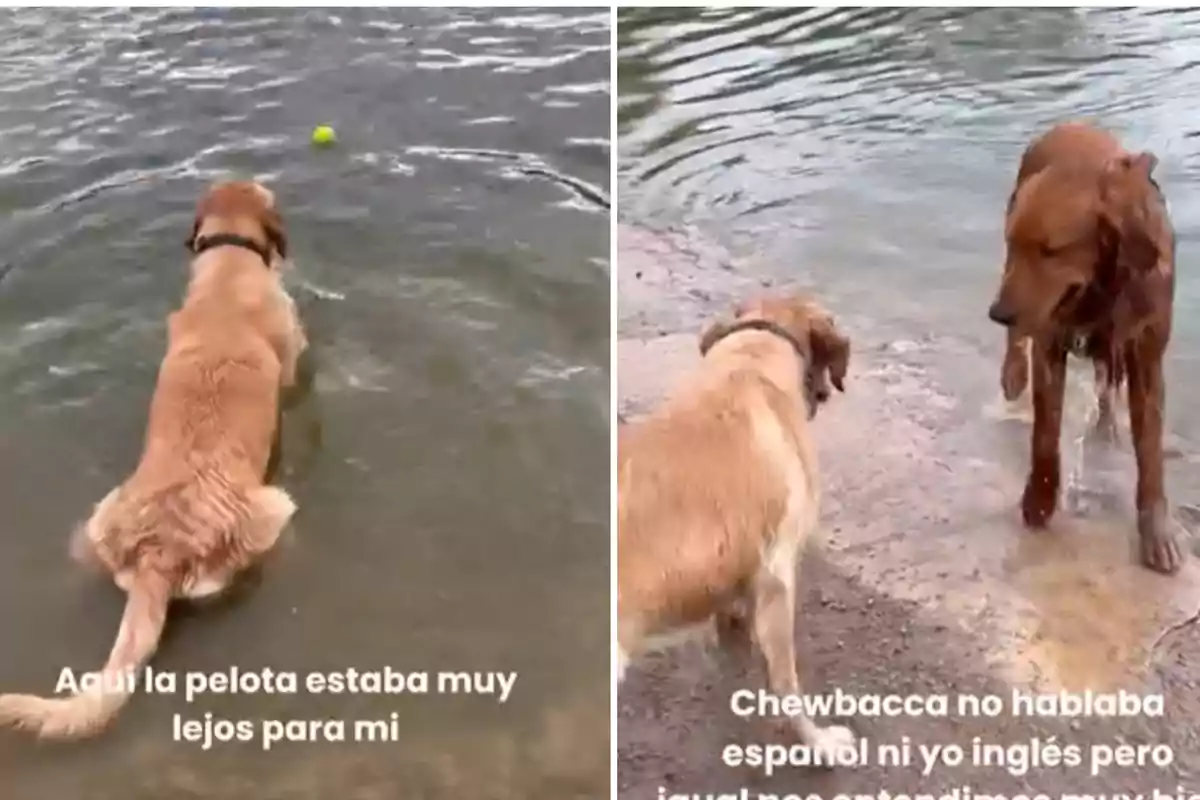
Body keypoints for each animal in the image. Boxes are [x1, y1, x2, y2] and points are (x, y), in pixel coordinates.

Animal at [984, 123, 1180, 575]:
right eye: (1019, 243)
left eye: (1050, 250)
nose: (997, 313)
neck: (1103, 286)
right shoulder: (1049, 341)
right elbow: (1045, 436)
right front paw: (1039, 502)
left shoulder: (1147, 357)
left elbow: (1151, 455)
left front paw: (1156, 534)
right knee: (1019, 343)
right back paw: (1012, 371)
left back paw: (1105, 426)